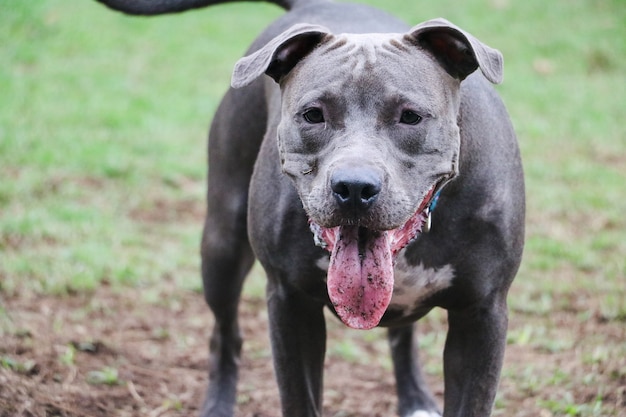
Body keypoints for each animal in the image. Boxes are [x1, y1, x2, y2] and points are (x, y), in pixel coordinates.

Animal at [95, 0, 520, 416]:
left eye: (411, 117)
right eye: (313, 114)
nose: (354, 187)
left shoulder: (481, 315)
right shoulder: (290, 303)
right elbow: (299, 398)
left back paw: (415, 400)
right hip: (222, 244)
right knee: (225, 334)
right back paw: (218, 404)